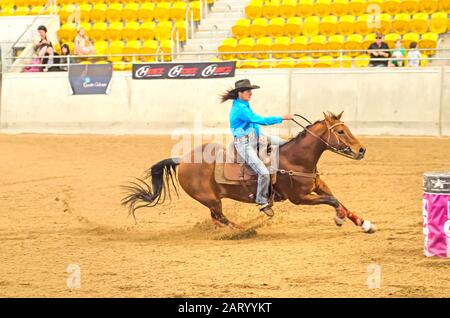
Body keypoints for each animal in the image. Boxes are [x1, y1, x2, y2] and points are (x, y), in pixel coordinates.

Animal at [122, 112, 376, 234]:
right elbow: (333, 202)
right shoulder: (300, 198)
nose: (361, 150)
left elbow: (339, 201)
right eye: (340, 132)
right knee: (221, 217)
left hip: (212, 200)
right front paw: (339, 219)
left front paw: (364, 224)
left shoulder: (318, 186)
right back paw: (246, 230)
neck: (295, 159)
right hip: (210, 199)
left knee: (216, 219)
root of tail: (182, 160)